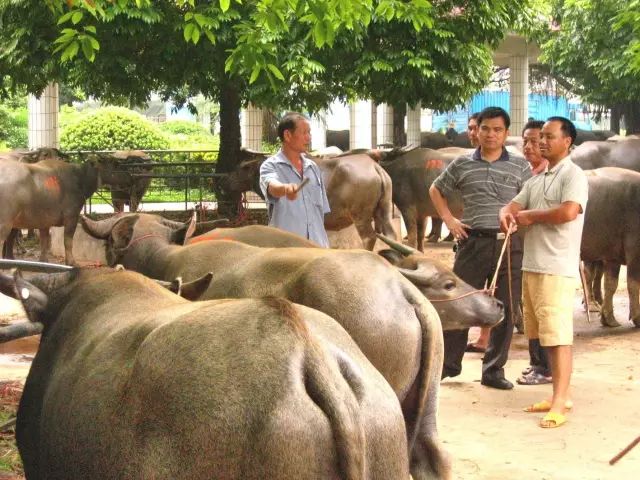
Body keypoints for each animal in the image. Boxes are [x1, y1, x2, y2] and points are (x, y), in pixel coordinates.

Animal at [224, 154, 396, 251]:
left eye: (242, 168)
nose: (225, 182)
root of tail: (375, 167)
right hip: (384, 211)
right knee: (391, 236)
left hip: (360, 215)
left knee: (369, 237)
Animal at [580, 167, 640, 328]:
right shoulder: (635, 250)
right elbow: (633, 284)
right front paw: (638, 318)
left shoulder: (612, 256)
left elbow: (610, 284)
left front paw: (608, 318)